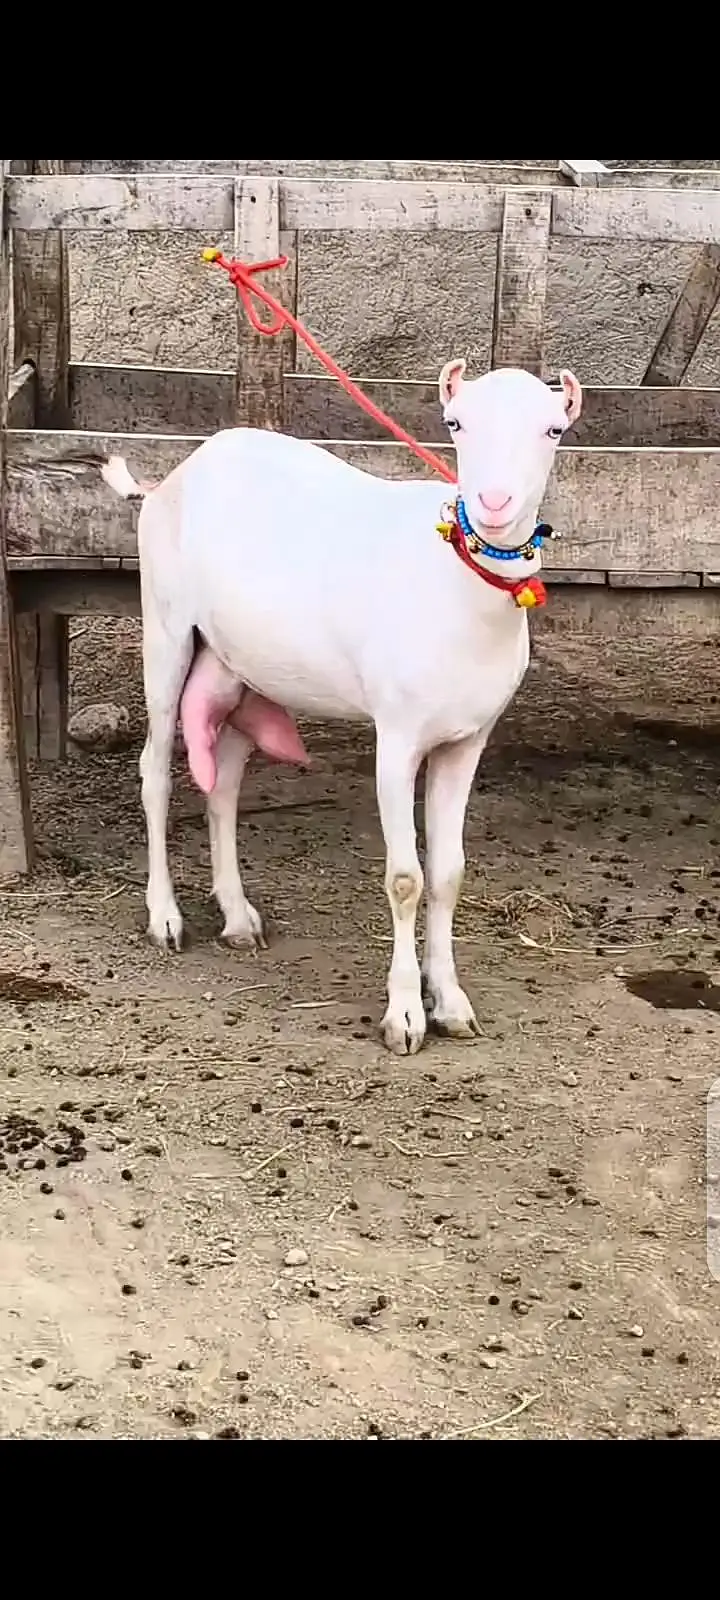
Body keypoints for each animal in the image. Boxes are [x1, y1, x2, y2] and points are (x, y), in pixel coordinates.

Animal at [102, 361, 581, 1056]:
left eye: (553, 429)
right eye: (455, 423)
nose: (494, 504)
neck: (456, 587)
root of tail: (171, 478)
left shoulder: (468, 740)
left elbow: (449, 873)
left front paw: (451, 1002)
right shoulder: (398, 734)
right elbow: (406, 878)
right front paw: (404, 1015)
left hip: (238, 665)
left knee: (223, 780)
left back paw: (238, 916)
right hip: (165, 628)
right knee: (155, 771)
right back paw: (165, 917)